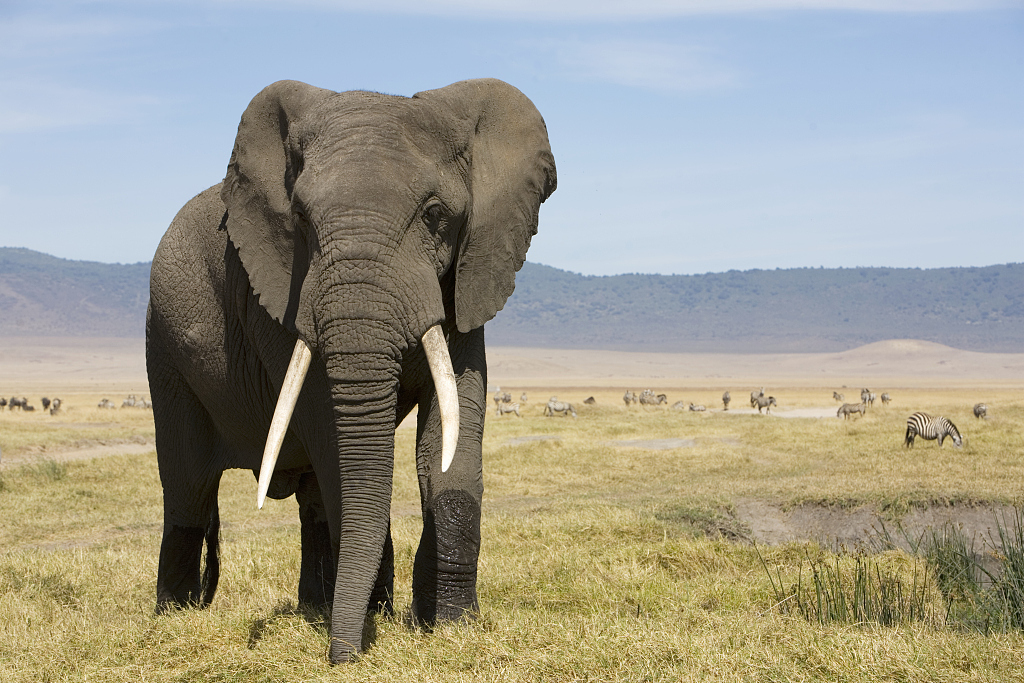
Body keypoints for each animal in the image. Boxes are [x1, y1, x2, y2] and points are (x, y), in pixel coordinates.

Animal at [146, 78, 552, 663]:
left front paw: (450, 626)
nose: (341, 657)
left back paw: (317, 606)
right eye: (300, 221)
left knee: (309, 496)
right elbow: (335, 439)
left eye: (434, 214)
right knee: (189, 485)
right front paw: (373, 626)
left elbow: (450, 439)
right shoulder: (284, 296)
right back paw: (174, 617)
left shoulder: (466, 279)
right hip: (165, 349)